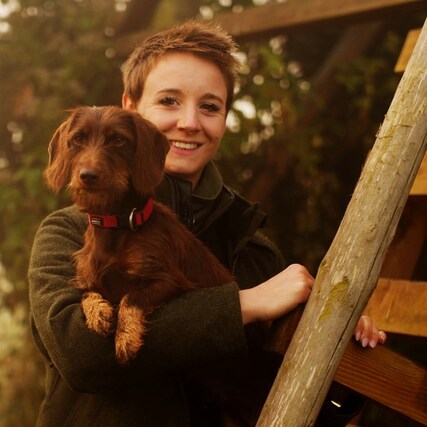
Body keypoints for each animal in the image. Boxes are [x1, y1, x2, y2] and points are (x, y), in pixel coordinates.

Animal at [44, 106, 234, 364]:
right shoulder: (88, 277)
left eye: (118, 140)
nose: (88, 175)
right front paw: (98, 313)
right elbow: (86, 294)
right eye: (78, 139)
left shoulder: (170, 280)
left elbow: (131, 297)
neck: (116, 224)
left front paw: (126, 337)